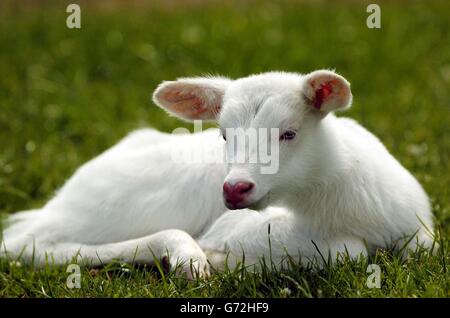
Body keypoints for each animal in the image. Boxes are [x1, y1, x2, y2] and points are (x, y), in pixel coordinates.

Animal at [1, 70, 434, 278]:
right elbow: (349, 250)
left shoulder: (420, 227)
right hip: (125, 206)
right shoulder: (234, 226)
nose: (234, 189)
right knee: (25, 245)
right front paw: (224, 258)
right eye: (224, 134)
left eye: (289, 132)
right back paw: (189, 259)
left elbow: (419, 248)